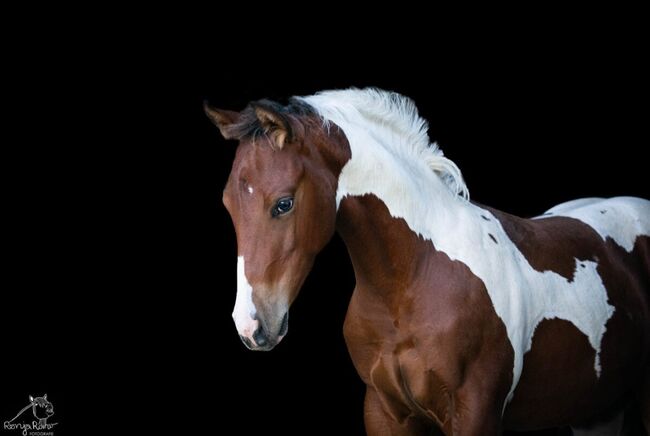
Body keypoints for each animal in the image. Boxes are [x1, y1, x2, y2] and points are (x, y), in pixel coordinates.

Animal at [206, 89, 648, 436]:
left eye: (283, 203)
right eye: (227, 204)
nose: (251, 325)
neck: (412, 281)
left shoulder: (475, 414)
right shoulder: (384, 412)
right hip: (598, 412)